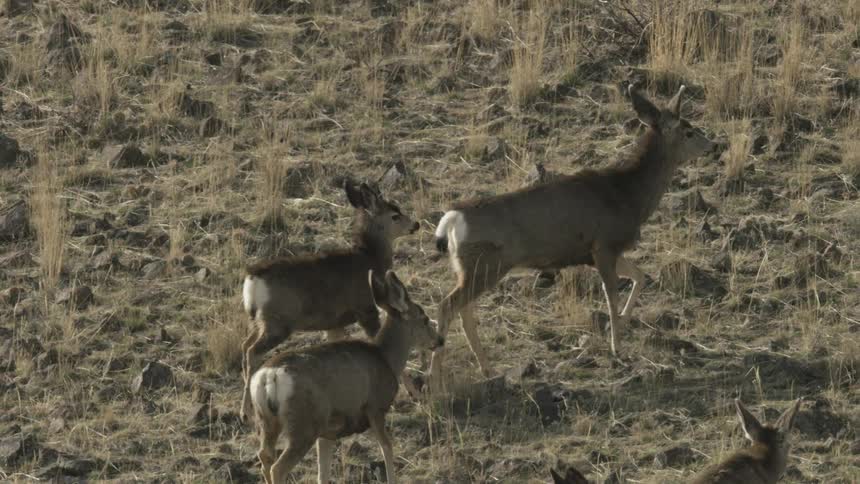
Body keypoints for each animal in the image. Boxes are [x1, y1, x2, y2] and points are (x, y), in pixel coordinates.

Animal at [240, 181, 419, 422]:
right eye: (395, 215)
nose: (416, 224)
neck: (370, 259)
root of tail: (252, 278)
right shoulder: (365, 309)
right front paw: (416, 393)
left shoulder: (335, 323)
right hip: (278, 323)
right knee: (252, 351)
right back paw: (246, 412)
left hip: (259, 321)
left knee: (245, 346)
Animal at [249, 270, 444, 484]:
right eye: (424, 318)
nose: (440, 340)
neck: (386, 357)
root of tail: (269, 376)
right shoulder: (375, 406)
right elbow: (387, 447)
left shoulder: (327, 431)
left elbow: (323, 470)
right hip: (303, 424)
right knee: (278, 467)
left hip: (268, 421)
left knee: (265, 456)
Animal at [429, 83, 715, 388]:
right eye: (688, 131)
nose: (714, 144)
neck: (628, 195)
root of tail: (451, 220)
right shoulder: (604, 244)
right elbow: (611, 294)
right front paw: (617, 347)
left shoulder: (598, 251)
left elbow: (641, 276)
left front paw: (623, 322)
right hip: (485, 265)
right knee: (447, 306)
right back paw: (434, 380)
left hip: (471, 269)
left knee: (463, 309)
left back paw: (486, 369)